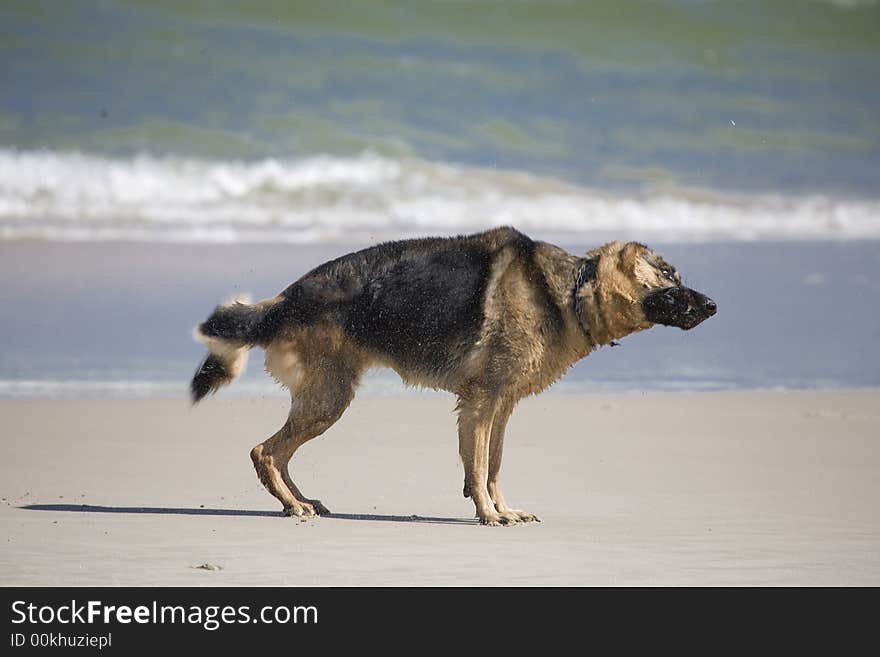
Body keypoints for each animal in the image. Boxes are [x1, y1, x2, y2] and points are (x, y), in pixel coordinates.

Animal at [191, 228, 716, 524]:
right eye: (670, 275)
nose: (713, 305)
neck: (570, 292)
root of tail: (286, 298)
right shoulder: (483, 402)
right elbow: (481, 466)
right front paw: (487, 513)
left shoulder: (499, 406)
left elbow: (492, 464)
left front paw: (500, 509)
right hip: (329, 401)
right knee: (265, 451)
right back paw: (294, 505)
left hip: (325, 400)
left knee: (277, 454)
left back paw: (299, 502)